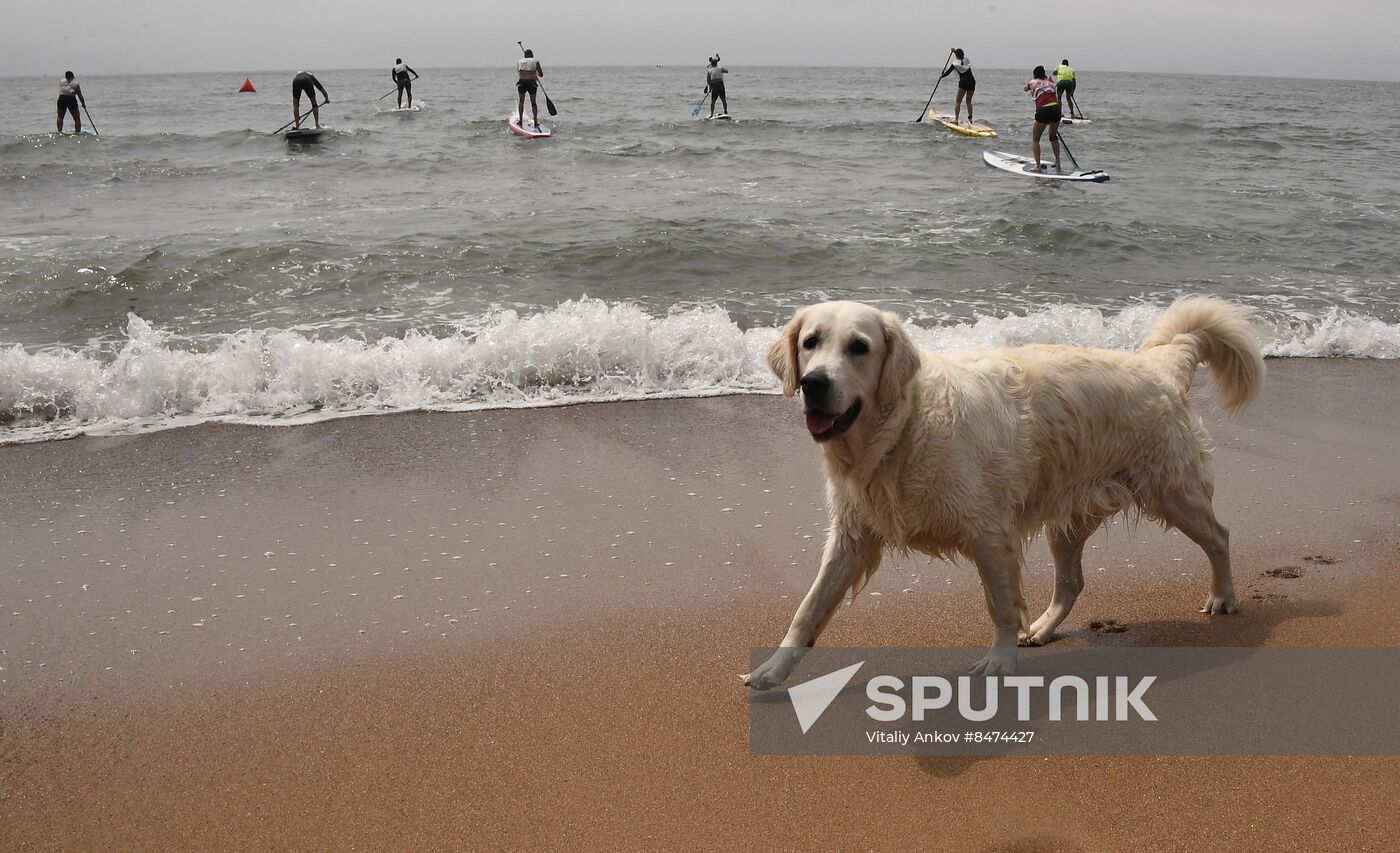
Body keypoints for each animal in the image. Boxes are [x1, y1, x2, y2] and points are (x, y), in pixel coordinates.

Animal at [744, 295, 1271, 689]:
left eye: (859, 346)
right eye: (810, 342)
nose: (813, 383)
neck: (900, 430)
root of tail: (1160, 364)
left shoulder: (989, 532)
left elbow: (999, 603)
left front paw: (998, 662)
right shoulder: (852, 536)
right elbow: (807, 609)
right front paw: (772, 670)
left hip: (1172, 491)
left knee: (1219, 536)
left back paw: (1223, 597)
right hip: (1070, 516)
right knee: (1072, 582)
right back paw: (1040, 629)